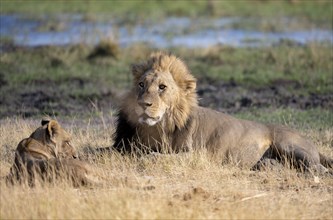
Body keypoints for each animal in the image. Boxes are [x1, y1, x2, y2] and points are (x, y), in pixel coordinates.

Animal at [112, 52, 332, 173]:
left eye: (162, 87)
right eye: (141, 85)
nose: (143, 104)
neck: (157, 127)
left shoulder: (196, 155)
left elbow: (156, 156)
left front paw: (146, 158)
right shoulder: (122, 145)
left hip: (288, 144)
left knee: (318, 168)